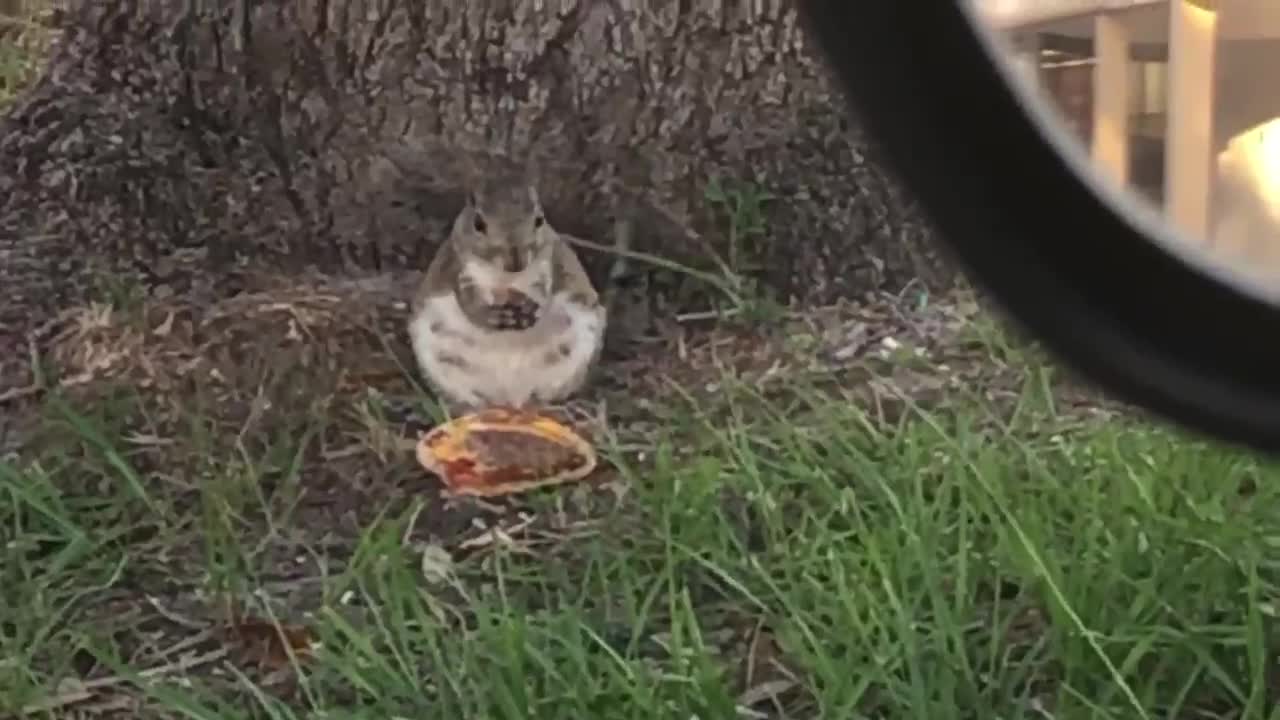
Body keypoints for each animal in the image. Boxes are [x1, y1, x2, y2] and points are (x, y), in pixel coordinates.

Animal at [409, 175, 609, 409]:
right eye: (478, 224)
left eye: (539, 220)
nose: (516, 260)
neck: (508, 281)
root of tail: (510, 397)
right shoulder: (456, 268)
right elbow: (468, 303)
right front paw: (490, 315)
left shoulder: (547, 262)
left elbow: (546, 289)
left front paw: (535, 309)